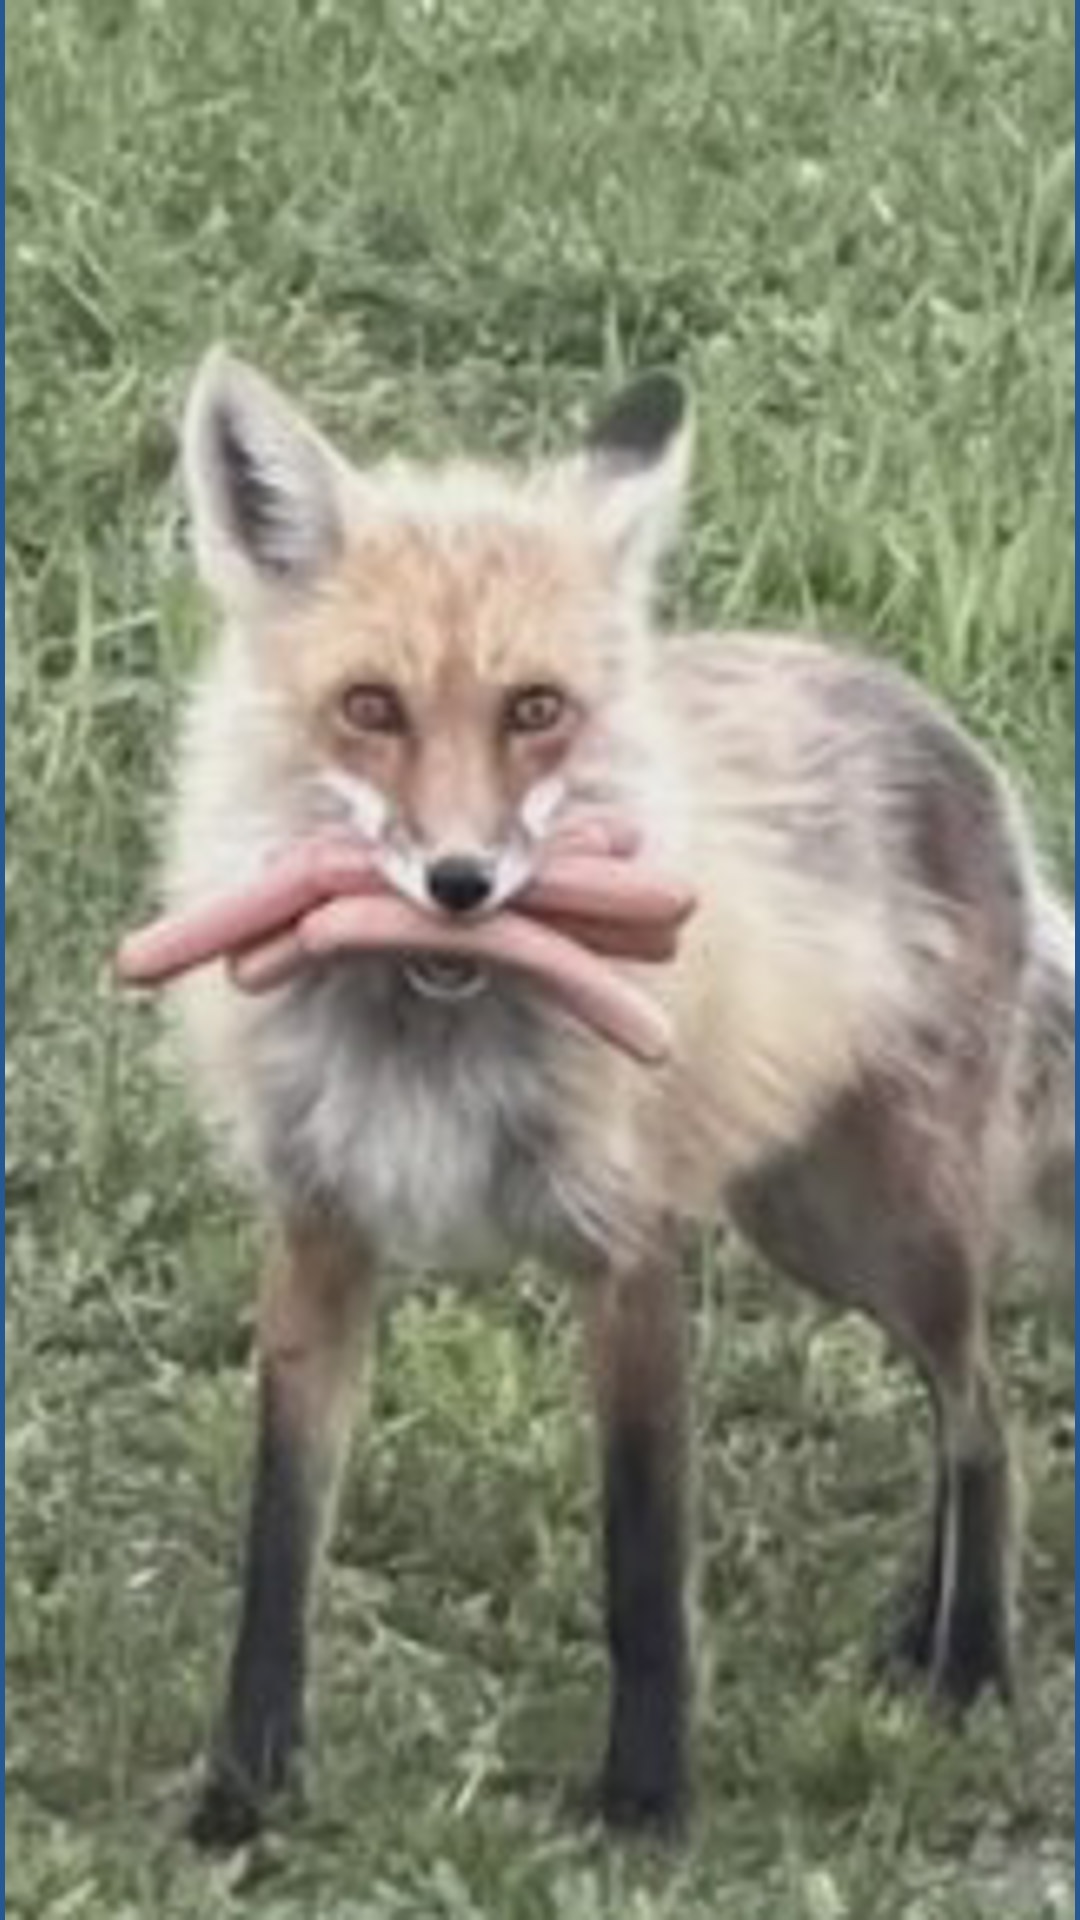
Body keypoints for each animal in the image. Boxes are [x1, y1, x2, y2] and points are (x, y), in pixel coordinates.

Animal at [159, 348, 1074, 1850]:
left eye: (536, 710)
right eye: (371, 707)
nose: (461, 884)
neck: (437, 1021)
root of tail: (945, 729)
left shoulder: (626, 1241)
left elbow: (643, 1557)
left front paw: (647, 1806)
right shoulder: (320, 1234)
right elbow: (276, 1545)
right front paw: (243, 1795)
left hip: (889, 1222)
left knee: (988, 1422)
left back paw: (972, 1668)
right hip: (804, 1223)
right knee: (966, 1408)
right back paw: (914, 1626)